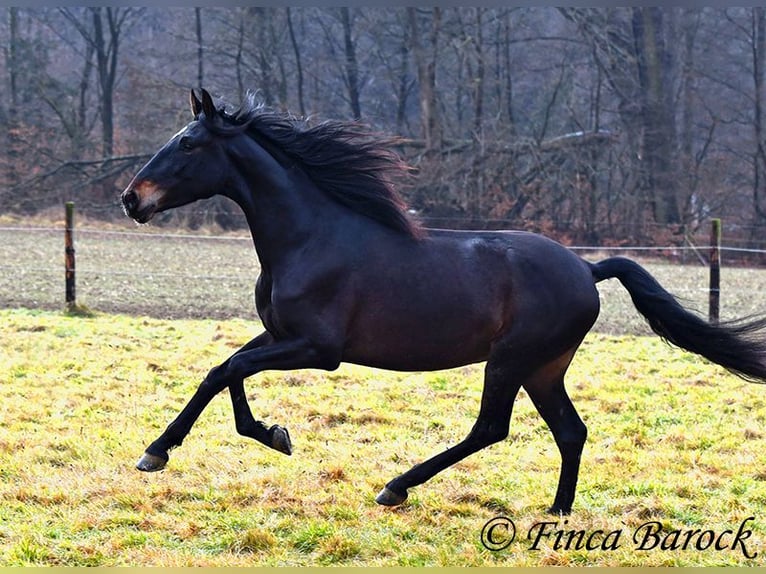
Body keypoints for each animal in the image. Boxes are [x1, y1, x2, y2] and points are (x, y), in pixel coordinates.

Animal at [118, 90, 766, 516]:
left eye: (188, 143)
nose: (131, 199)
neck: (308, 238)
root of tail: (587, 267)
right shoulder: (279, 336)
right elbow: (221, 371)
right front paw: (250, 438)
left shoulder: (317, 348)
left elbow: (229, 370)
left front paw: (175, 450)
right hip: (544, 367)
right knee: (570, 431)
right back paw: (556, 513)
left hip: (511, 360)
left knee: (491, 428)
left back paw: (396, 487)